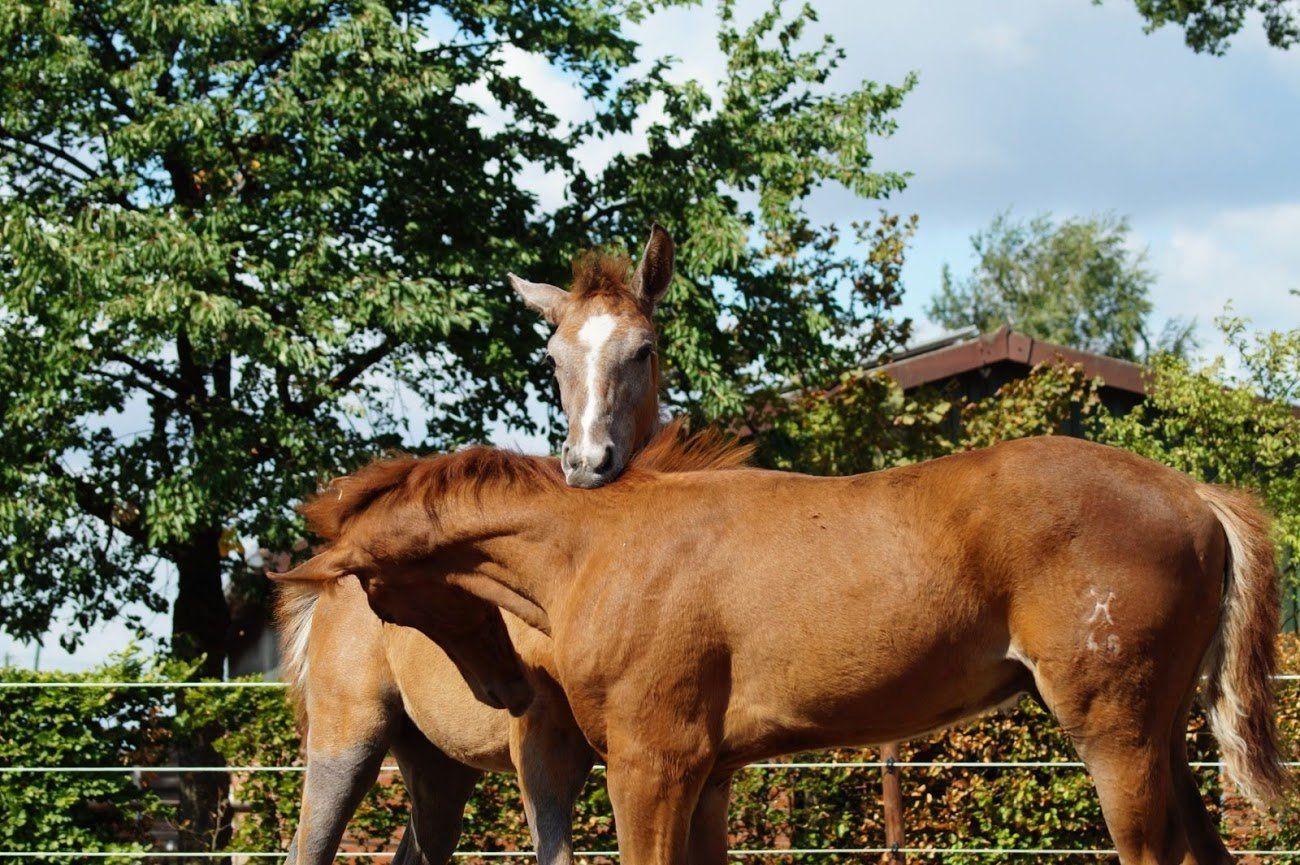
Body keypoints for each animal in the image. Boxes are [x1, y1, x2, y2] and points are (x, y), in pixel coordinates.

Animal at [274, 431, 1290, 865]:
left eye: (378, 590)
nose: (504, 689)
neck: (596, 546)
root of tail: (1196, 495)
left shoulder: (650, 762)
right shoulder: (708, 772)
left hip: (1114, 732)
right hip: (1160, 737)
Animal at [277, 224, 676, 865]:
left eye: (643, 349)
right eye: (552, 358)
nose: (587, 463)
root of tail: (330, 577)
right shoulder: (540, 748)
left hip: (438, 764)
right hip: (346, 741)